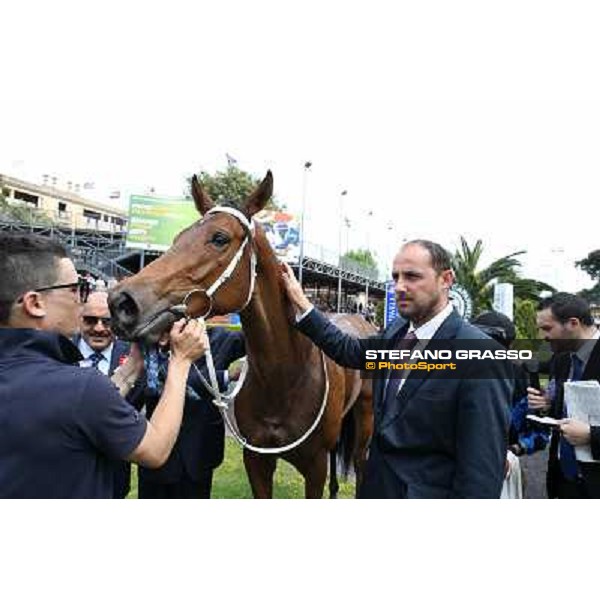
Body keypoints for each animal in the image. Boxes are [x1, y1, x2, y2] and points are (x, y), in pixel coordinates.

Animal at [106, 171, 370, 500]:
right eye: (178, 237)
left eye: (219, 238)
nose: (121, 302)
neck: (284, 377)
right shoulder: (256, 461)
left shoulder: (315, 467)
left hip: (365, 419)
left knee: (359, 461)